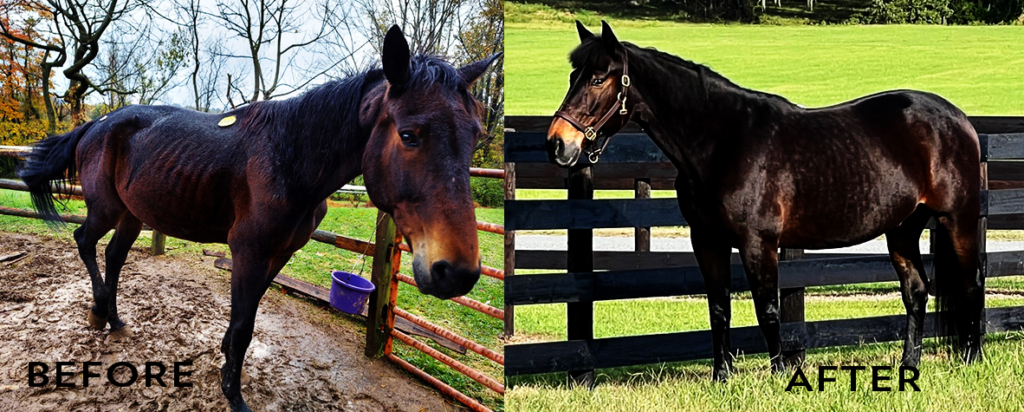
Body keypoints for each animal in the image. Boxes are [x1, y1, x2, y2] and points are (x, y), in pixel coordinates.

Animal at [19, 25, 499, 411]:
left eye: (476, 135)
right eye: (409, 134)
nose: (456, 272)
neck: (290, 158)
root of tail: (96, 124)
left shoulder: (278, 255)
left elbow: (241, 323)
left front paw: (225, 366)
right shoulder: (248, 253)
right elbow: (244, 326)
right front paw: (233, 394)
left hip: (132, 215)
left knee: (115, 256)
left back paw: (115, 319)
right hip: (105, 208)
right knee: (85, 241)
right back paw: (98, 310)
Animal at [547, 21, 984, 381]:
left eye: (598, 79)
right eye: (571, 76)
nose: (557, 143)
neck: (723, 143)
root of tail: (958, 119)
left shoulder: (758, 243)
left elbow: (767, 308)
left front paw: (780, 376)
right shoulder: (707, 241)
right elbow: (719, 307)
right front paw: (721, 378)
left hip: (957, 219)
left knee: (971, 282)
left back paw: (971, 359)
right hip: (903, 229)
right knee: (916, 291)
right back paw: (909, 366)